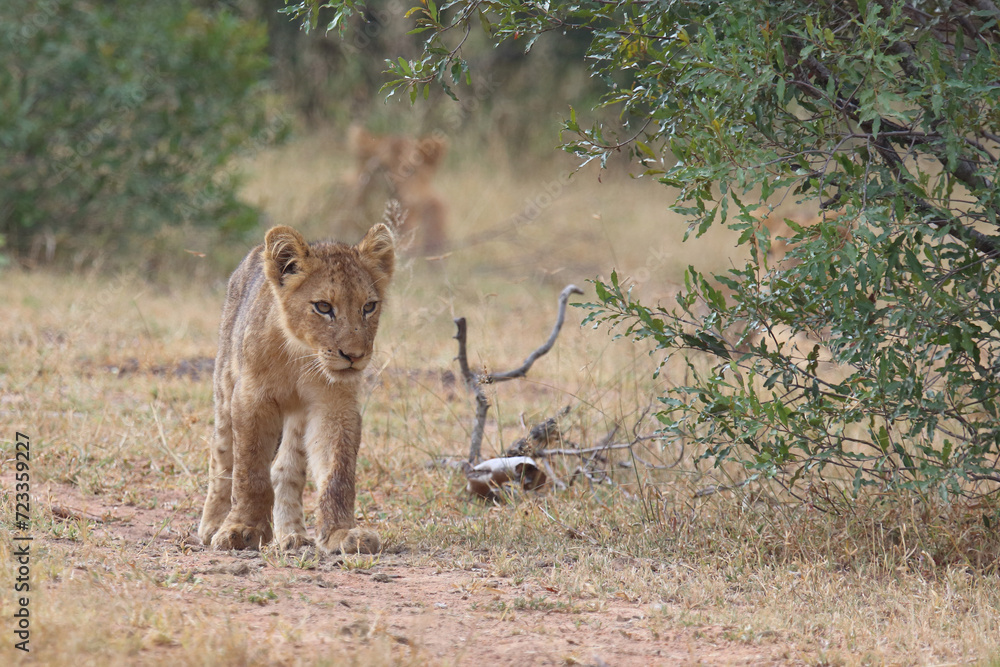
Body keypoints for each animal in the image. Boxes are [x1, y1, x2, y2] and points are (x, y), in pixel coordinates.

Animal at [198, 222, 394, 553]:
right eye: (324, 307)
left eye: (368, 306)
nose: (354, 356)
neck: (302, 355)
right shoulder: (251, 398)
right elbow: (249, 471)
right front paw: (242, 529)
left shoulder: (335, 405)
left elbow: (337, 474)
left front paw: (341, 533)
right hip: (224, 387)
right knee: (221, 459)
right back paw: (211, 525)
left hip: (298, 416)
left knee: (285, 469)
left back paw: (292, 536)